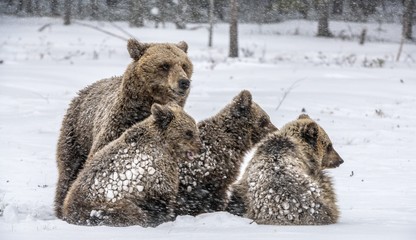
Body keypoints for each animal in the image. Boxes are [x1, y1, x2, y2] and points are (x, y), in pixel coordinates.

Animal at [53, 39, 193, 218]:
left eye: (184, 65)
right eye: (164, 65)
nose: (184, 82)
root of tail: (85, 89)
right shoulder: (116, 130)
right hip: (76, 132)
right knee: (68, 169)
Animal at [62, 102, 203, 227]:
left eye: (194, 128)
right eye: (188, 132)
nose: (200, 147)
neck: (167, 148)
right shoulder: (155, 173)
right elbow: (161, 200)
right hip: (104, 207)